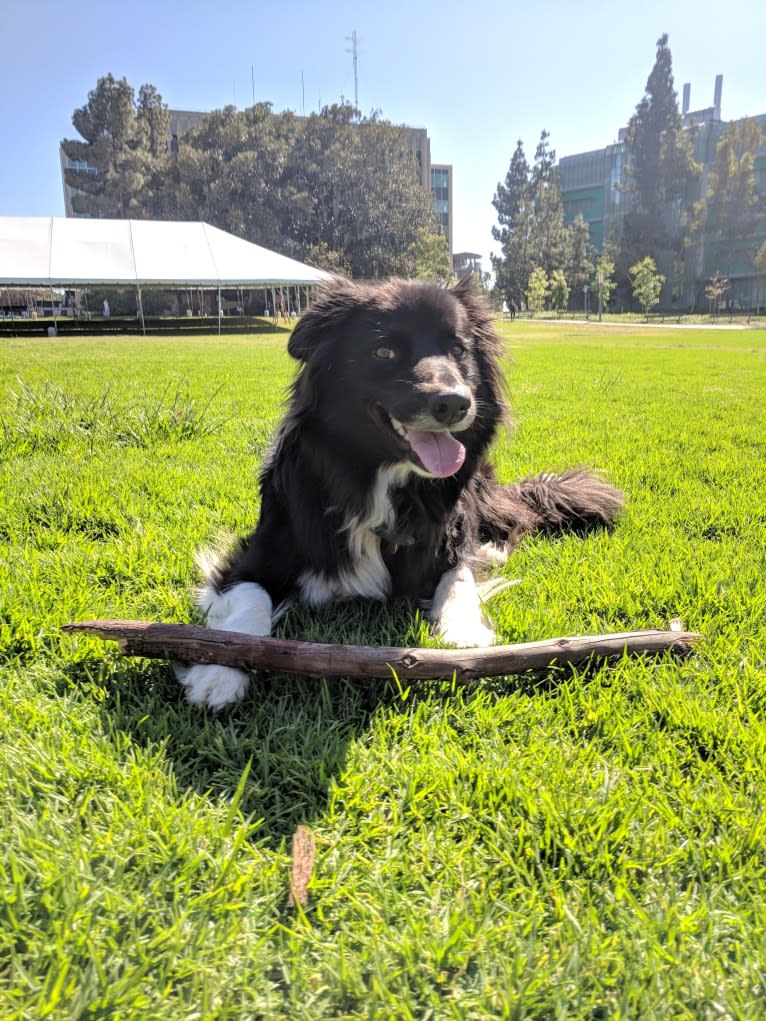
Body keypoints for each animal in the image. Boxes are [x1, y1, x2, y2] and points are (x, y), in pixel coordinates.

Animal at [178, 279, 625, 710]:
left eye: (458, 350)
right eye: (384, 350)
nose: (455, 403)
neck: (379, 479)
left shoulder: (447, 536)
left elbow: (459, 575)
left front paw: (463, 628)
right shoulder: (256, 555)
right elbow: (250, 603)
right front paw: (219, 670)